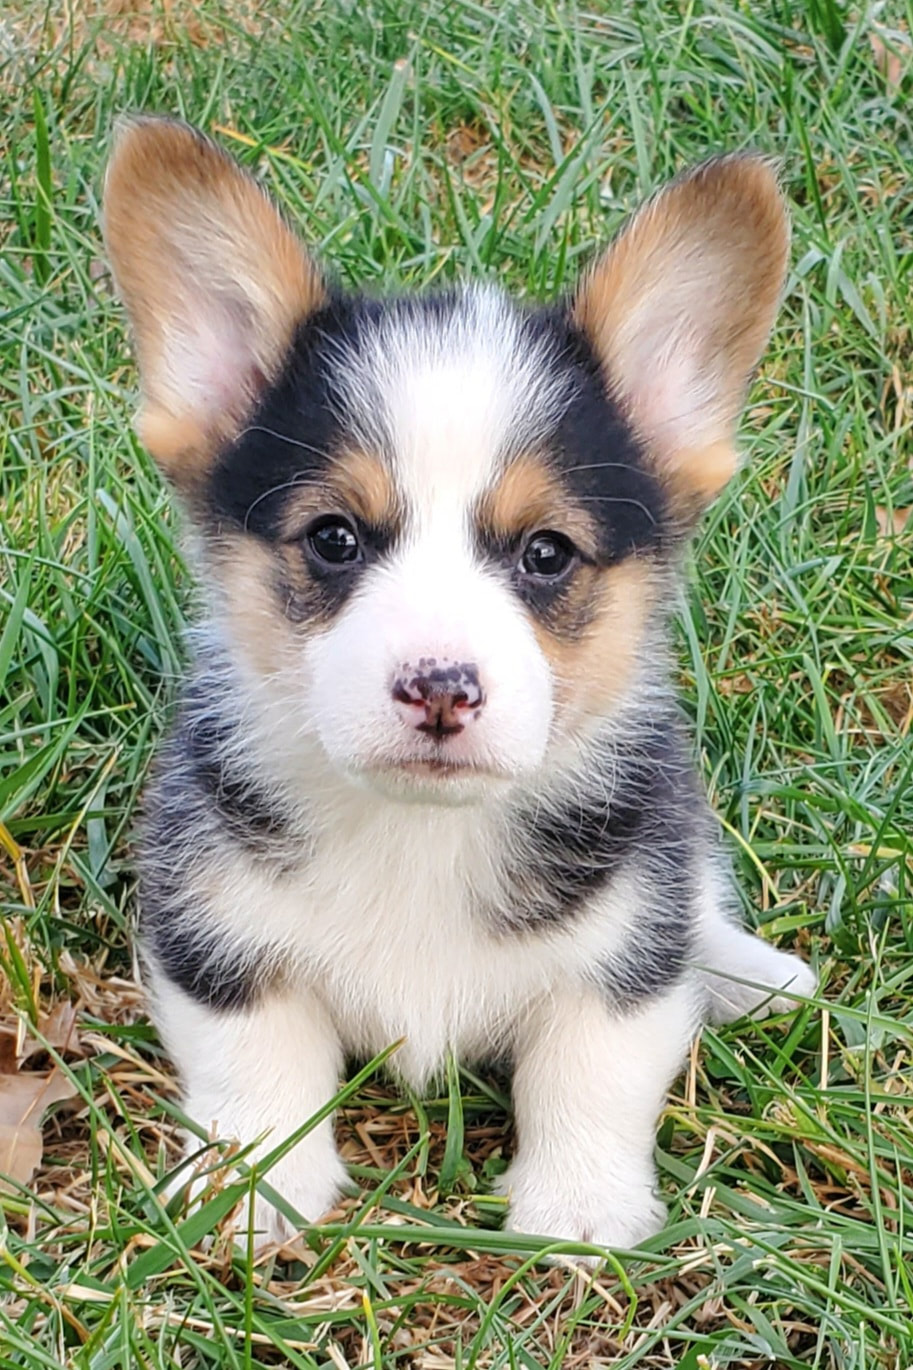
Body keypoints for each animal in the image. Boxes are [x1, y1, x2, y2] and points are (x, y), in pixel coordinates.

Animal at [102, 120, 811, 1254]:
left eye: (547, 553)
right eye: (333, 537)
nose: (439, 687)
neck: (420, 833)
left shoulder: (624, 949)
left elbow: (592, 1069)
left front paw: (578, 1213)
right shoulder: (211, 929)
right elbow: (254, 1060)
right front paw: (254, 1192)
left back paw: (754, 976)